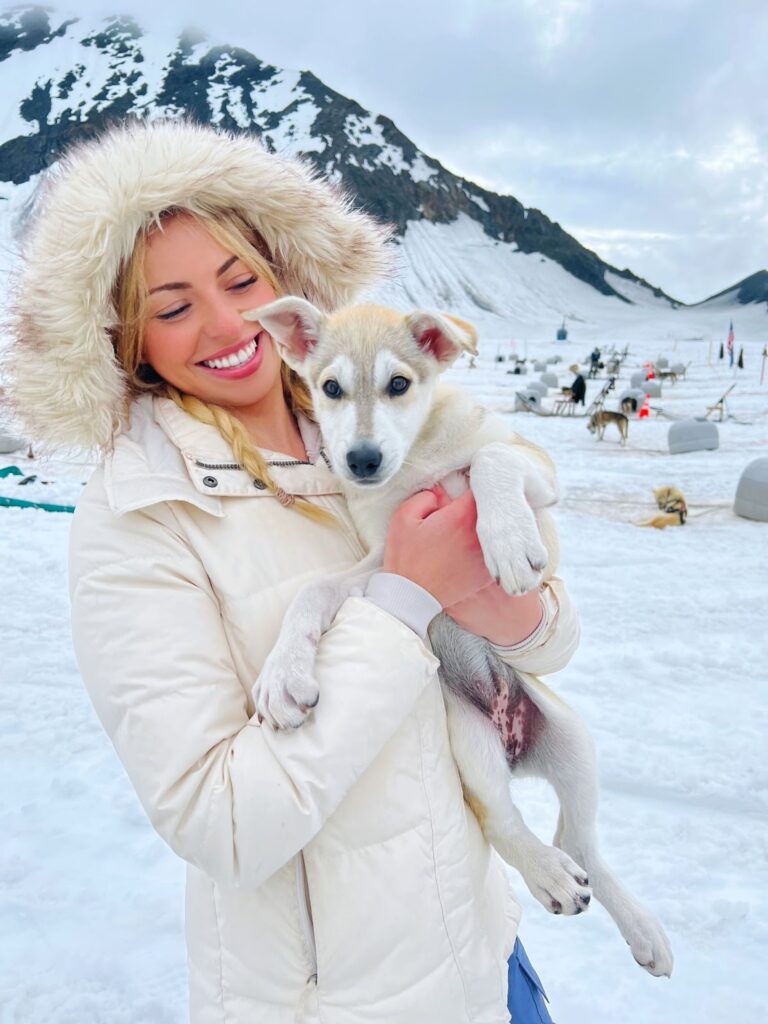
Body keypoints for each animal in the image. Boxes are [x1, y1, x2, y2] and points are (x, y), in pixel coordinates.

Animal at [244, 299, 671, 974]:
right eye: (330, 388)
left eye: (399, 384)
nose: (361, 461)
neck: (419, 457)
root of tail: (514, 742)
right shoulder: (386, 557)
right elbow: (314, 591)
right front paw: (282, 675)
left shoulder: (533, 464)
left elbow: (492, 459)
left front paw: (509, 542)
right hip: (469, 741)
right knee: (507, 823)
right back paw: (551, 876)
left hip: (573, 739)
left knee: (579, 839)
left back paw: (641, 928)